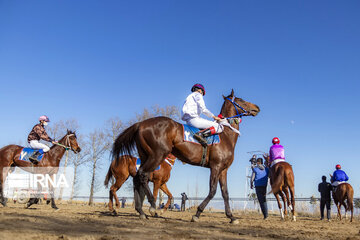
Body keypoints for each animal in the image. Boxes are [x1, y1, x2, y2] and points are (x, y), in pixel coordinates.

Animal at [112, 90, 258, 223]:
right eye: (241, 100)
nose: (257, 107)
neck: (226, 135)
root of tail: (140, 124)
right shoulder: (215, 167)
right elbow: (212, 191)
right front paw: (197, 213)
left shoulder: (223, 170)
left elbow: (225, 193)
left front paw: (231, 217)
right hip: (157, 155)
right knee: (142, 174)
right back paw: (152, 206)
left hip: (145, 156)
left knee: (137, 178)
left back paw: (140, 211)